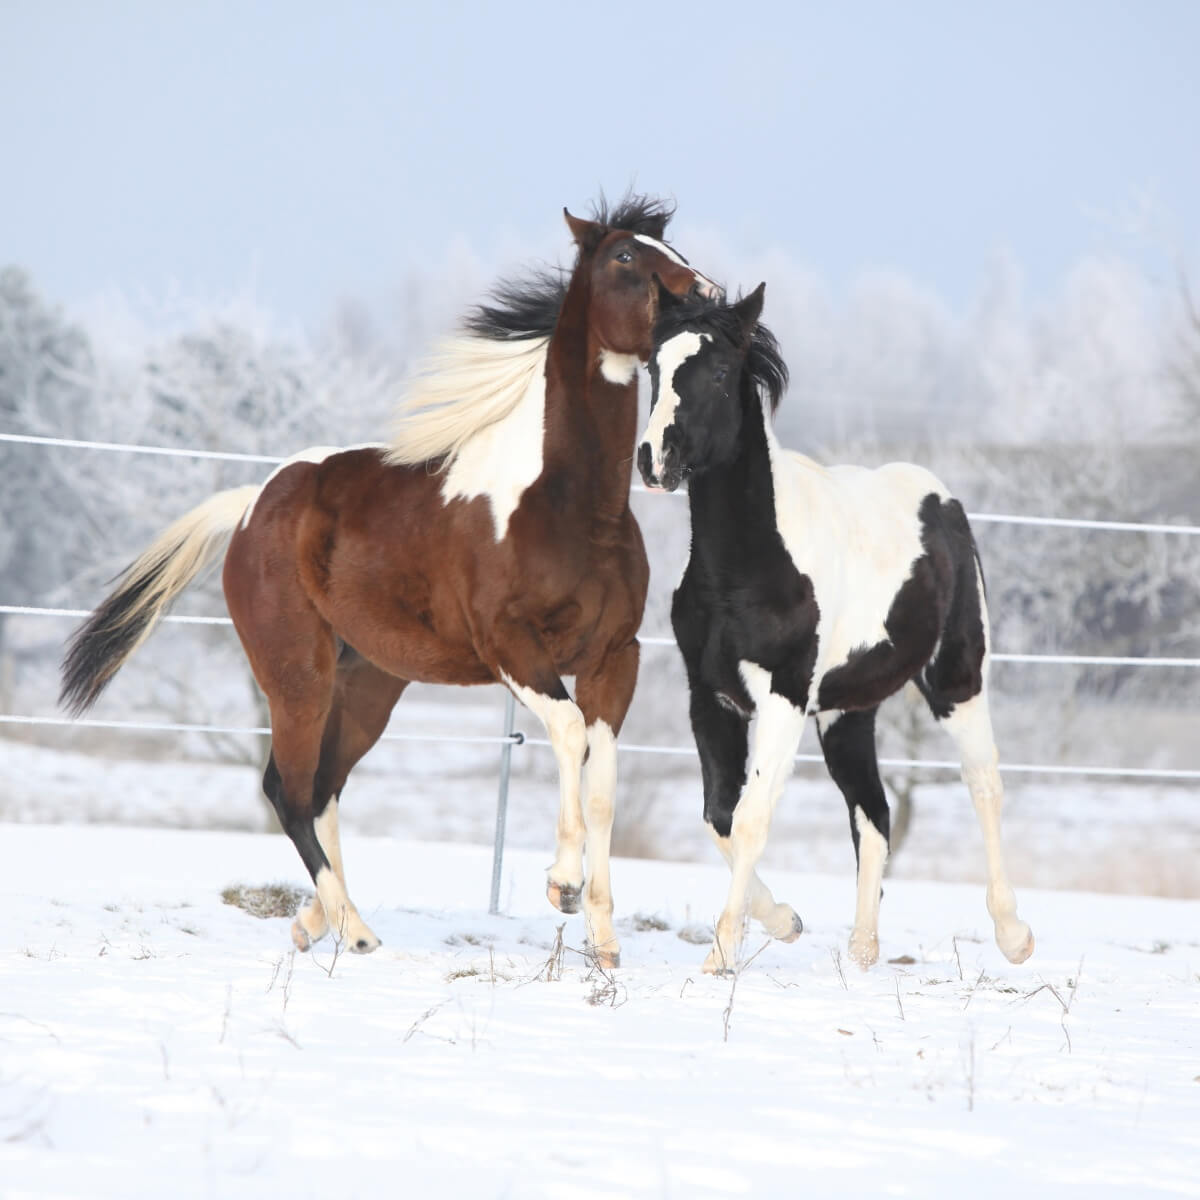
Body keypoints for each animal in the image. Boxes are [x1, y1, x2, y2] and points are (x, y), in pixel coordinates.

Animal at [61, 196, 720, 967]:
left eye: (673, 248)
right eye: (625, 256)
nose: (707, 298)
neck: (567, 504)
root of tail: (252, 504)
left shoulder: (616, 657)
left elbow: (603, 781)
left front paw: (605, 942)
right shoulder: (512, 650)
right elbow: (567, 734)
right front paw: (560, 883)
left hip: (369, 681)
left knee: (321, 789)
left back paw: (316, 922)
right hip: (297, 675)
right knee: (286, 790)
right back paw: (354, 930)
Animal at [636, 282, 1034, 975]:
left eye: (719, 371)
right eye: (653, 367)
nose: (655, 460)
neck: (745, 565)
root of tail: (944, 500)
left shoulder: (784, 696)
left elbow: (750, 817)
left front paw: (722, 954)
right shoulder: (710, 698)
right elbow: (719, 815)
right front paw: (786, 921)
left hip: (957, 683)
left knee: (984, 785)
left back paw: (1014, 936)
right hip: (850, 713)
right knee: (873, 815)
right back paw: (863, 953)